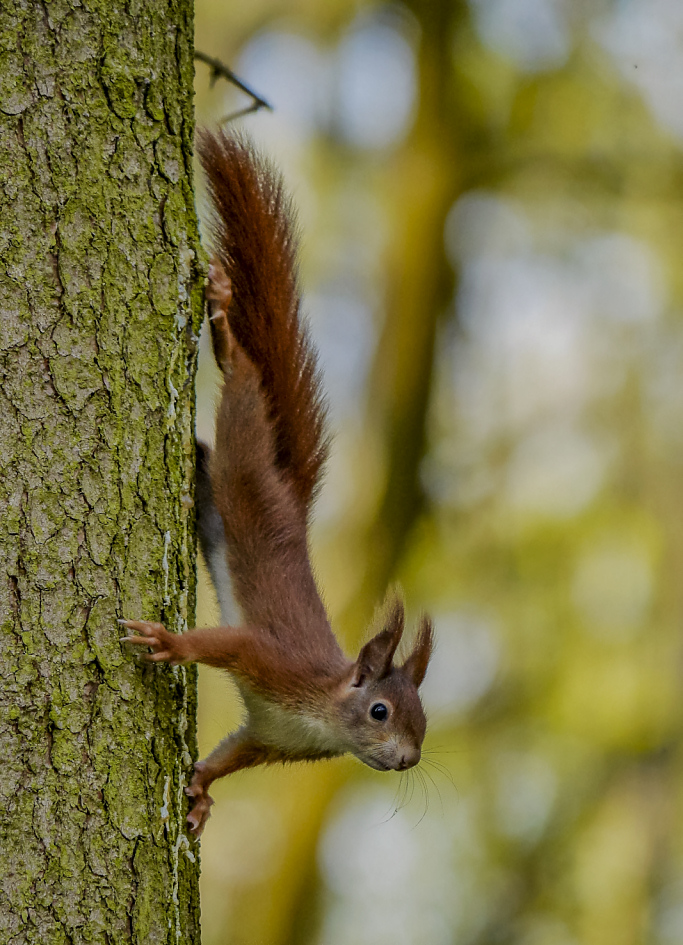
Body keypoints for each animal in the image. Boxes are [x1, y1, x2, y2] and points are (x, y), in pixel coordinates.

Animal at [119, 127, 432, 832]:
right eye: (380, 711)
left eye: (424, 721)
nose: (409, 760)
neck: (323, 716)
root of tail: (290, 496)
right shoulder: (270, 662)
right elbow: (223, 643)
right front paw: (169, 642)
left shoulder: (270, 739)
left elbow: (231, 755)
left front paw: (202, 790)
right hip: (246, 453)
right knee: (243, 388)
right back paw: (226, 329)